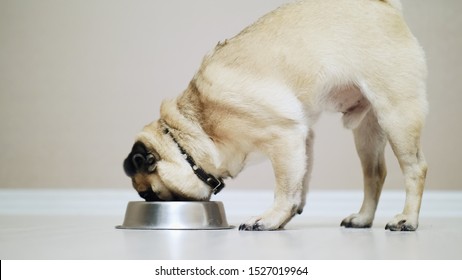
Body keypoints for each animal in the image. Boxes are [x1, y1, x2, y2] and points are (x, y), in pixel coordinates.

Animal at [123, 0, 430, 232]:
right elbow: (298, 184)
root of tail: (385, 5)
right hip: (368, 130)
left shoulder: (284, 137)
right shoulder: (301, 140)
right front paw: (285, 217)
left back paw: (407, 219)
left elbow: (284, 188)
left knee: (415, 168)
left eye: (148, 193)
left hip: (396, 114)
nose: (147, 202)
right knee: (375, 173)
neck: (193, 129)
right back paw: (363, 218)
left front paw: (269, 219)